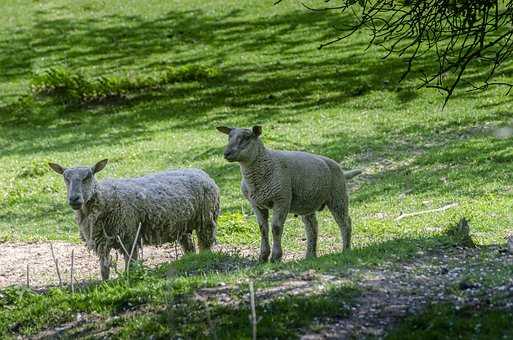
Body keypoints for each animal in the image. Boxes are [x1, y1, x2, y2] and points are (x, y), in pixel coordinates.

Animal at [48, 159, 222, 278]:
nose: (74, 199)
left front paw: (130, 278)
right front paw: (105, 283)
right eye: (65, 178)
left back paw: (204, 260)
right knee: (190, 248)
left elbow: (131, 263)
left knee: (205, 246)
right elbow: (104, 268)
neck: (104, 198)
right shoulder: (101, 241)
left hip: (206, 220)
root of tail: (201, 172)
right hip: (182, 226)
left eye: (88, 176)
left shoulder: (129, 236)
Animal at [214, 126, 358, 262]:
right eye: (229, 137)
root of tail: (338, 167)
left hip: (338, 196)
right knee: (312, 228)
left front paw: (275, 257)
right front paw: (263, 257)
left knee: (345, 222)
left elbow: (276, 228)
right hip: (308, 203)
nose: (226, 153)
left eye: (246, 137)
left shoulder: (281, 200)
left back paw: (346, 249)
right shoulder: (257, 204)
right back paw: (310, 256)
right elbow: (263, 229)